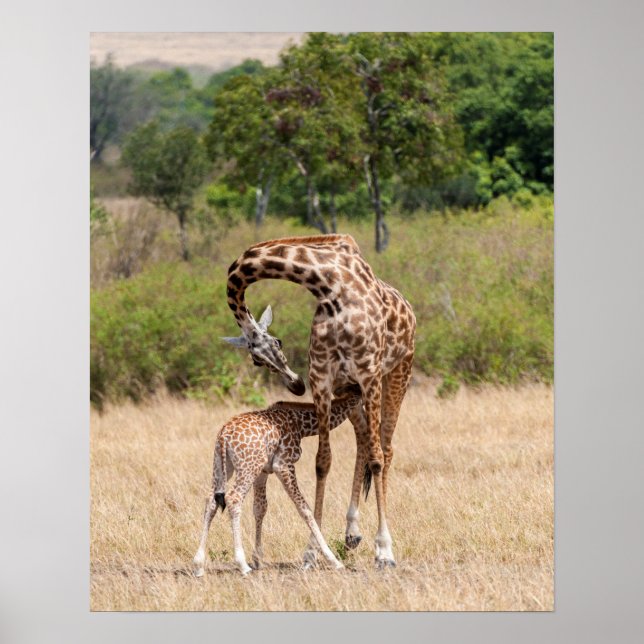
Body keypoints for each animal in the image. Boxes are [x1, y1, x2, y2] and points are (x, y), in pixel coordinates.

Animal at [193, 384, 362, 576]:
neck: (301, 425)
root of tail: (224, 435)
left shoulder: (263, 471)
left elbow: (260, 508)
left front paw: (258, 559)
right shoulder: (284, 465)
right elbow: (304, 509)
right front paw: (333, 560)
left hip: (222, 465)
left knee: (211, 499)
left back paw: (199, 565)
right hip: (246, 467)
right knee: (233, 498)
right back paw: (242, 565)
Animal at [223, 234, 416, 568]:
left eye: (278, 343)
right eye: (257, 360)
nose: (296, 385)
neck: (329, 286)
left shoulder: (369, 374)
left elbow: (377, 459)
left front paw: (385, 551)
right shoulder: (324, 380)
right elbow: (322, 462)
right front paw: (311, 551)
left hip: (397, 374)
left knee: (385, 449)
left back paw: (378, 544)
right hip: (349, 390)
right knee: (363, 440)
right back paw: (352, 533)